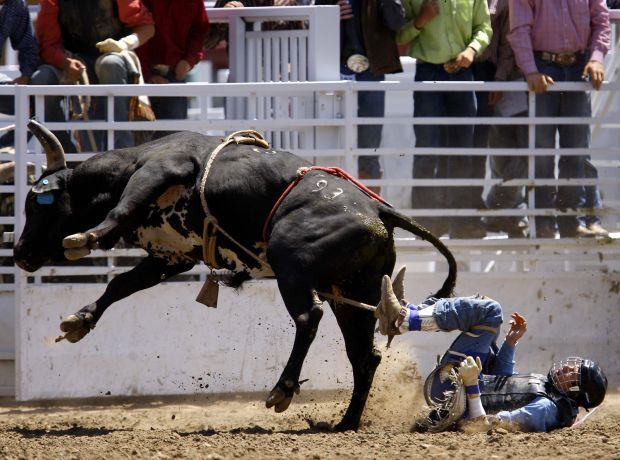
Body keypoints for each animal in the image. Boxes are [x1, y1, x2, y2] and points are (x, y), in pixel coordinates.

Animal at [12, 119, 452, 432]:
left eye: (36, 205)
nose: (19, 253)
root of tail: (378, 210)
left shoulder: (161, 168)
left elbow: (122, 207)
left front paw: (85, 237)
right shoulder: (170, 258)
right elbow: (121, 284)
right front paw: (79, 321)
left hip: (292, 266)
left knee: (308, 317)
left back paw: (283, 389)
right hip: (352, 291)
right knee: (364, 354)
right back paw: (345, 422)